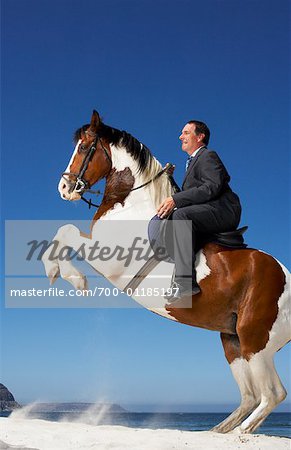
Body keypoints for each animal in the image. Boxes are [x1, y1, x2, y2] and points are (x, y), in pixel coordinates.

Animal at [42, 110, 290, 436]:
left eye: (83, 147)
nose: (63, 189)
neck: (131, 204)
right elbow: (62, 232)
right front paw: (58, 271)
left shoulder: (107, 256)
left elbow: (66, 231)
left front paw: (73, 278)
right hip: (233, 341)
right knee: (250, 395)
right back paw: (217, 432)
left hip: (256, 340)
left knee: (273, 394)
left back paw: (240, 434)